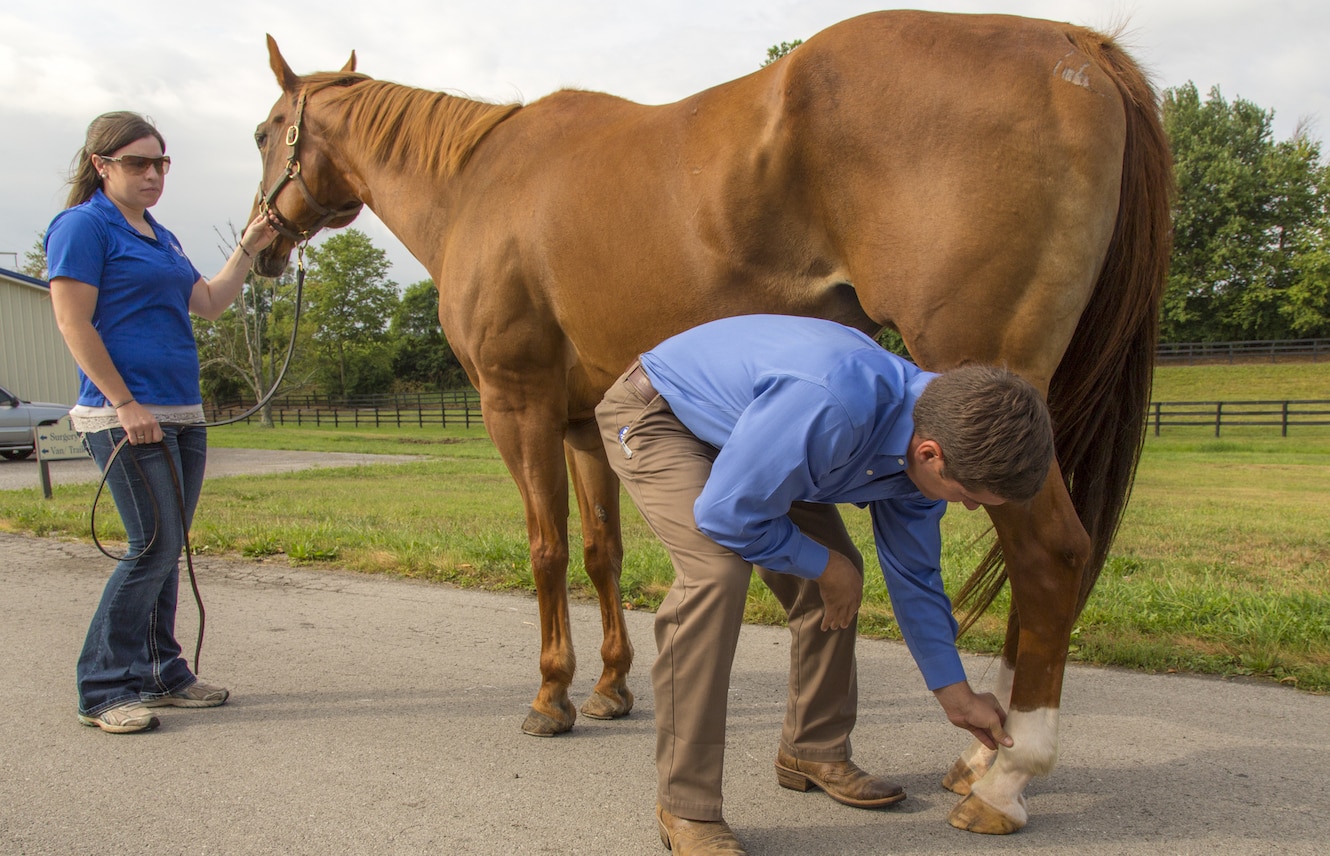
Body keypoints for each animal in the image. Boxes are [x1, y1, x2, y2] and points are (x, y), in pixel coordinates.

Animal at [247, 10, 1165, 834]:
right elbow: (601, 552)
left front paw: (551, 696)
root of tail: (1073, 46)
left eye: (262, 133)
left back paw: (1006, 779)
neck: (479, 183)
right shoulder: (583, 424)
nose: (259, 245)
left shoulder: (517, 405)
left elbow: (546, 552)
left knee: (1051, 557)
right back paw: (979, 752)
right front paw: (612, 688)